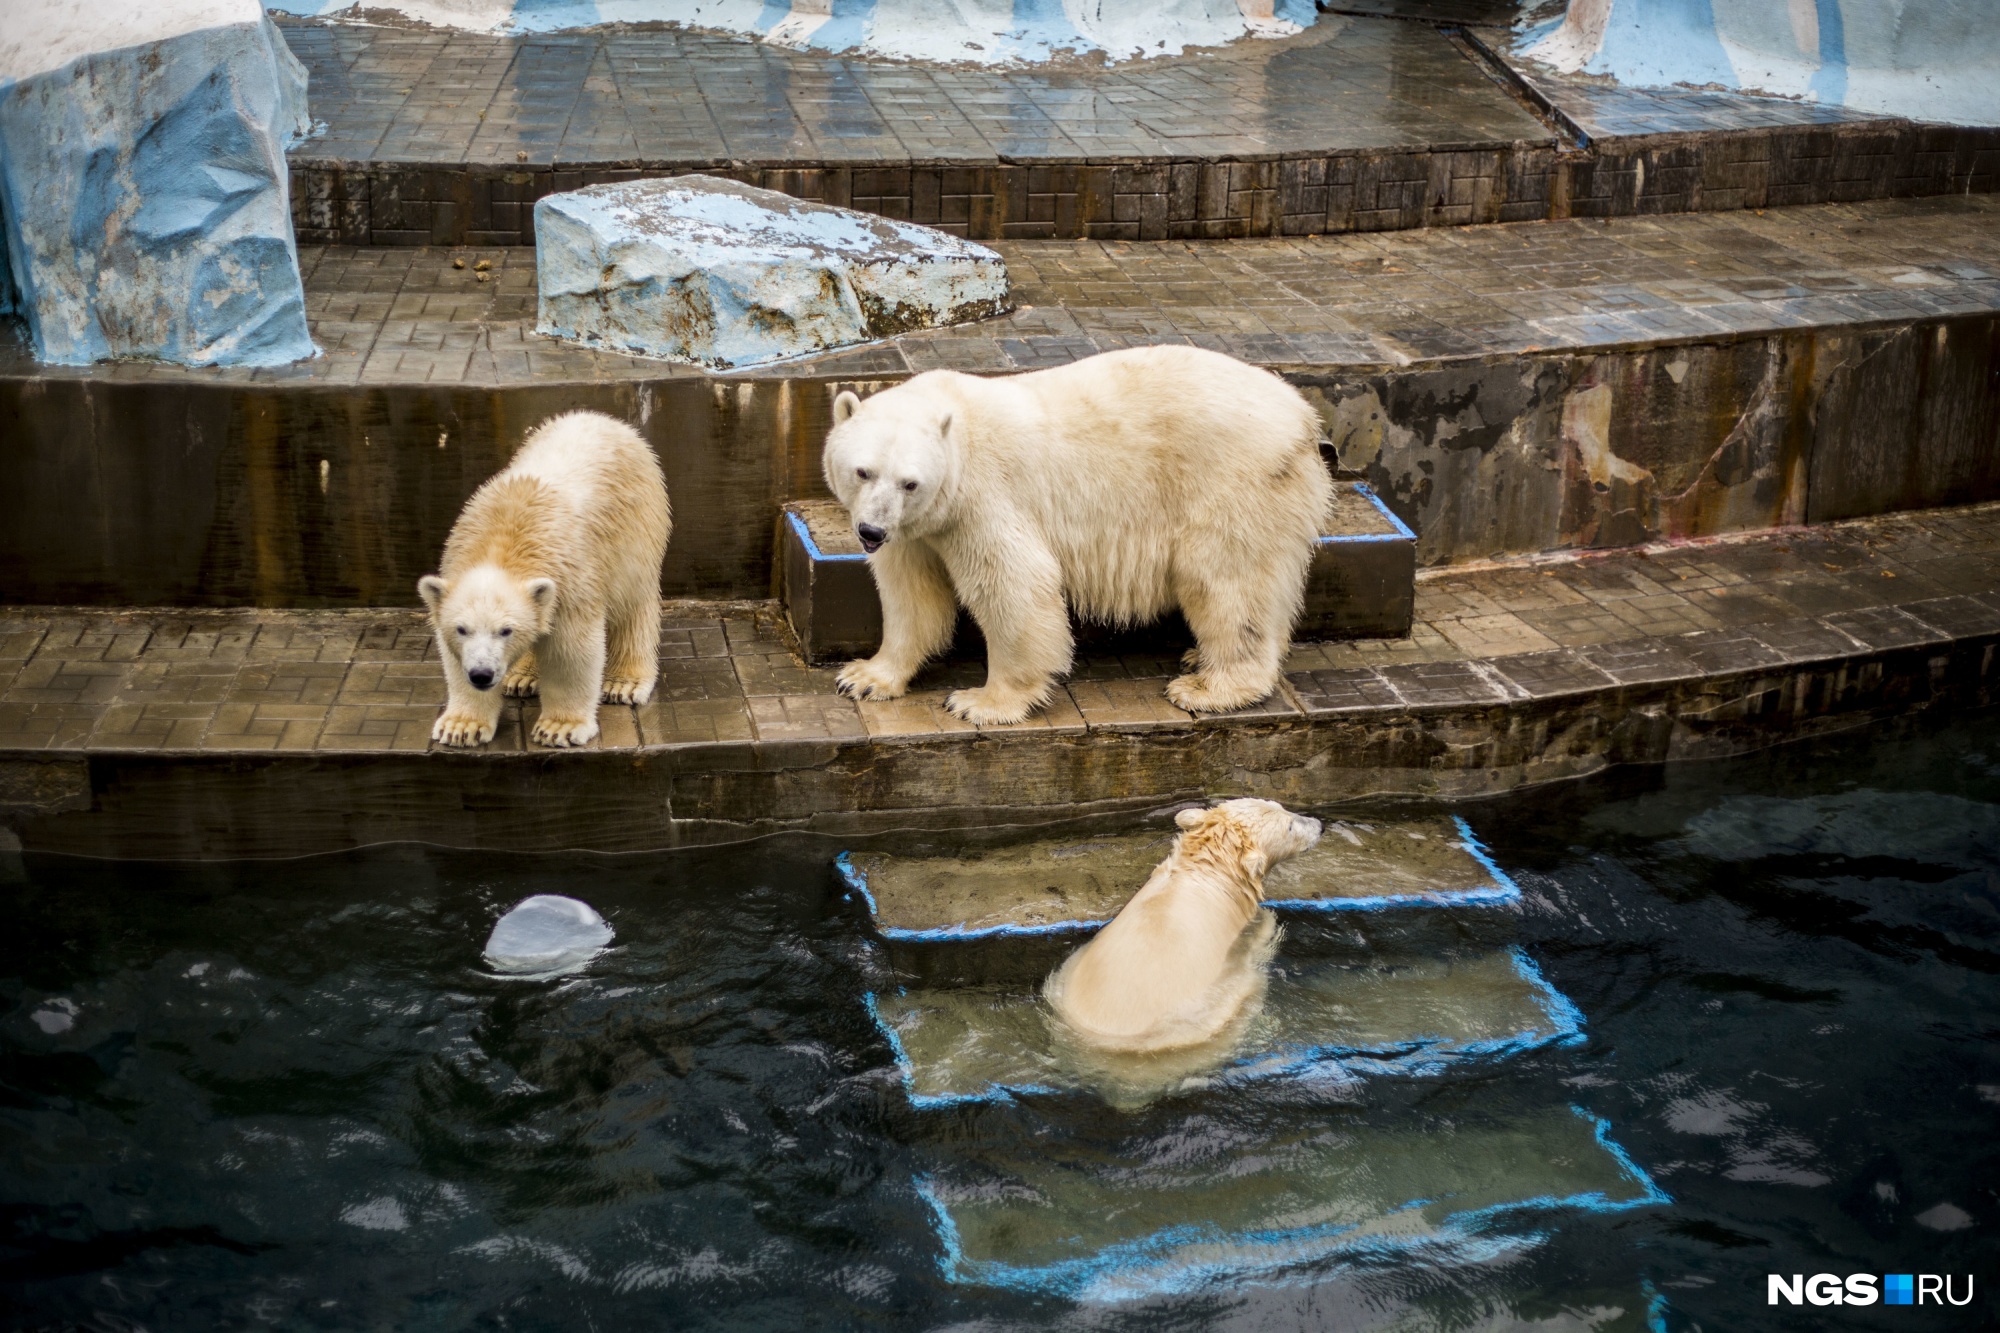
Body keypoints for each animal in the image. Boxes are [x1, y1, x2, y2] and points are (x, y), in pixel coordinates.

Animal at [420, 410, 672, 748]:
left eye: (506, 630)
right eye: (462, 629)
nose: (482, 675)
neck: (504, 541)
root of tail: (605, 419)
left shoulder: (571, 580)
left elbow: (571, 651)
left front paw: (559, 727)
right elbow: (454, 658)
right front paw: (461, 726)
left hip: (635, 529)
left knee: (633, 604)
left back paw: (624, 682)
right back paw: (522, 677)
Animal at [820, 340, 1336, 716]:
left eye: (910, 482)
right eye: (863, 471)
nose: (870, 533)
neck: (956, 422)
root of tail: (1304, 420)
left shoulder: (983, 499)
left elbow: (1013, 583)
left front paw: (981, 701)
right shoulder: (917, 530)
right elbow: (911, 593)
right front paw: (864, 678)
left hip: (1232, 481)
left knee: (1224, 580)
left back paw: (1208, 686)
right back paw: (1199, 657)